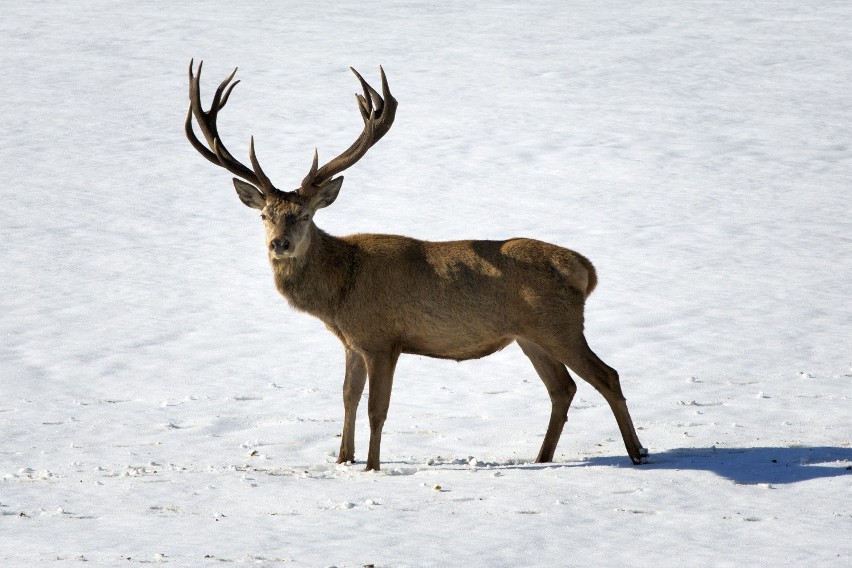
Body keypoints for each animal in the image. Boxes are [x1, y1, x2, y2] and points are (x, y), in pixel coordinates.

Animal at [185, 60, 644, 472]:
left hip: (558, 324)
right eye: (265, 215)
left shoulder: (383, 339)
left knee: (607, 375)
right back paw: (542, 458)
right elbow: (348, 398)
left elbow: (377, 409)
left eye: (304, 215)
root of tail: (586, 269)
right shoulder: (353, 342)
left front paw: (372, 467)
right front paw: (342, 459)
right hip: (528, 335)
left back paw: (638, 452)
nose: (279, 244)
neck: (339, 292)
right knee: (562, 388)